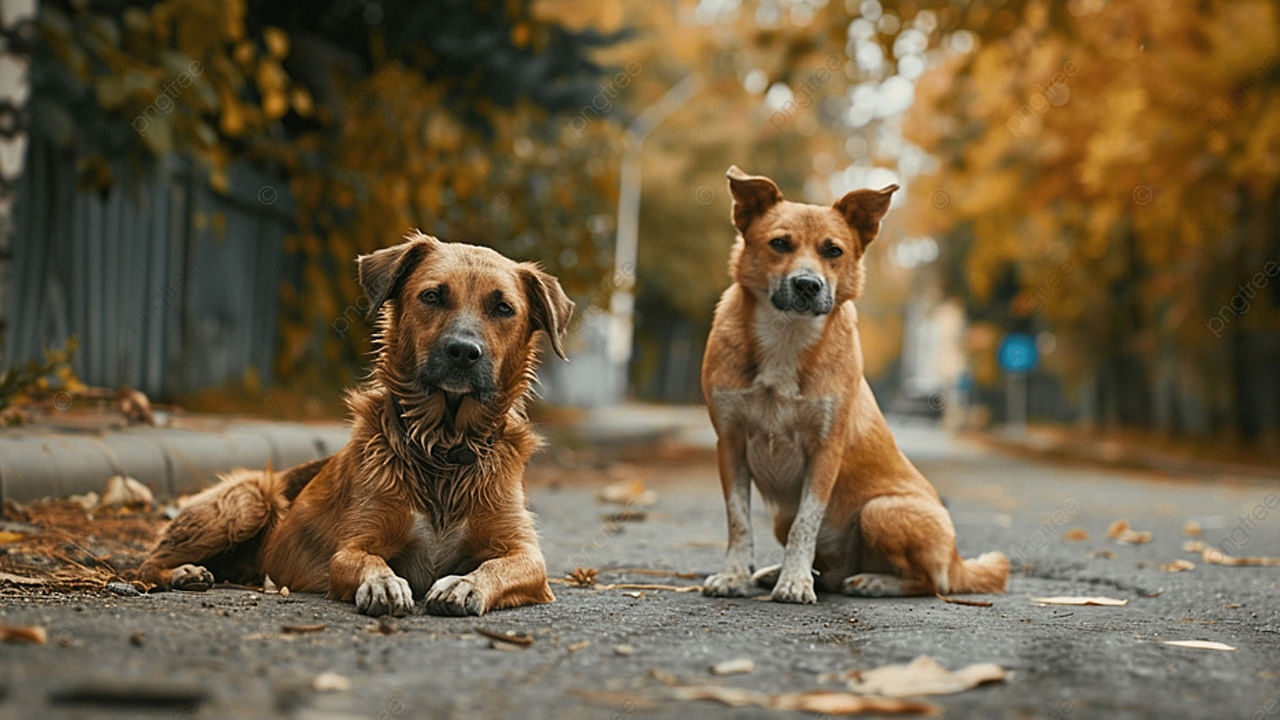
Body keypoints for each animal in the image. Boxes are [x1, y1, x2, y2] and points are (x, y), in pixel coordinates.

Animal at [141, 233, 576, 614]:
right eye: (432, 296)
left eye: (503, 309)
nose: (463, 352)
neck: (443, 447)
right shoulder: (353, 545)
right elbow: (365, 560)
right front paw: (383, 583)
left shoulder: (525, 554)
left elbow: (499, 565)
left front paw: (465, 583)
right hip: (246, 498)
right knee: (148, 561)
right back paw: (184, 572)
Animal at [701, 166, 1008, 599]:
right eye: (779, 244)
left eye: (833, 251)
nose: (807, 284)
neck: (787, 336)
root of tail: (958, 560)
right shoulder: (729, 444)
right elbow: (738, 521)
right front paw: (735, 575)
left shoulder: (825, 451)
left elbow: (806, 524)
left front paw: (794, 582)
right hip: (785, 514)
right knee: (831, 570)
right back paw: (782, 573)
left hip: (880, 511)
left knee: (931, 582)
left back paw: (873, 581)